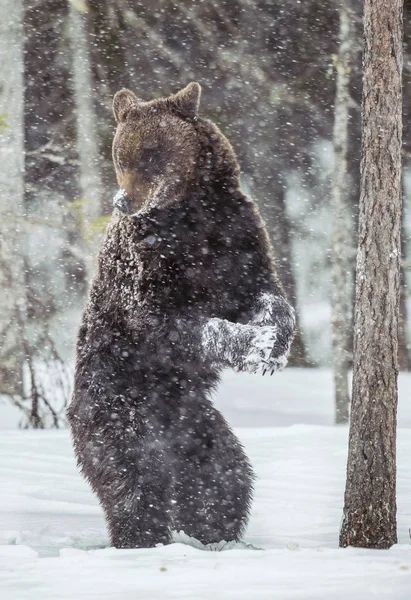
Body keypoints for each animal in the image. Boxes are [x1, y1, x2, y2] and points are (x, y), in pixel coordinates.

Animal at [67, 82, 294, 552]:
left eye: (151, 155)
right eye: (121, 158)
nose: (124, 201)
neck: (193, 213)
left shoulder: (238, 239)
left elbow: (268, 293)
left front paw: (275, 342)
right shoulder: (148, 267)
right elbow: (166, 324)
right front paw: (252, 345)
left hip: (197, 426)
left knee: (222, 478)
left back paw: (214, 535)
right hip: (115, 406)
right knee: (133, 477)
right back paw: (141, 538)